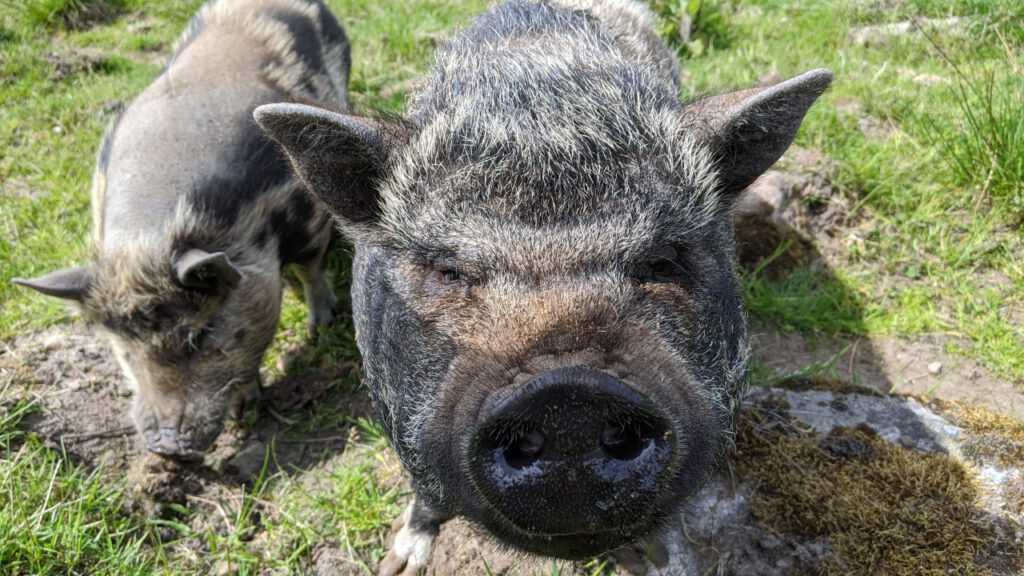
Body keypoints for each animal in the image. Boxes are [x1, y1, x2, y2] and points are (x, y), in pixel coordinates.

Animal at [13, 0, 350, 460]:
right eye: (126, 351)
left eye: (200, 335)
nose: (167, 445)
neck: (150, 236)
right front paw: (245, 406)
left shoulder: (308, 216)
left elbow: (311, 269)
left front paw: (322, 325)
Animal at [254, 0, 831, 571]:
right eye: (448, 269)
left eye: (664, 259)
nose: (568, 397)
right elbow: (427, 492)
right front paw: (400, 561)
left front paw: (663, 558)